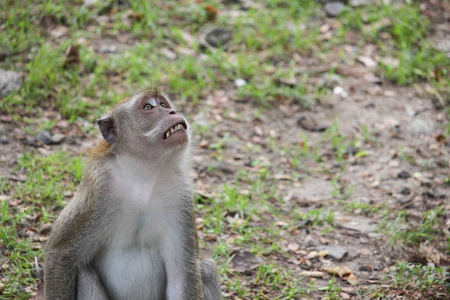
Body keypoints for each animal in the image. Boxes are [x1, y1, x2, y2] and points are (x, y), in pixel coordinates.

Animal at [44, 89, 221, 300]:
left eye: (163, 104)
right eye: (148, 107)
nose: (172, 111)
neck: (142, 174)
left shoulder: (182, 195)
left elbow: (181, 275)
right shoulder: (97, 189)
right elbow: (61, 254)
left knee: (207, 270)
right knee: (83, 271)